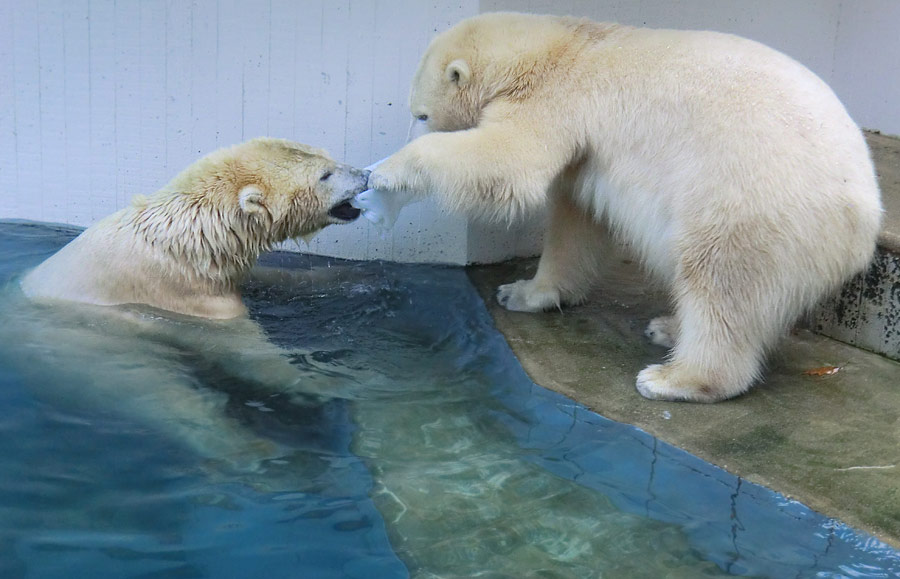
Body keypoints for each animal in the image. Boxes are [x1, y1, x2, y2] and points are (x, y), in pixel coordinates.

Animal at [370, 13, 884, 404]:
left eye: (420, 114)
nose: (406, 131)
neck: (563, 44)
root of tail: (862, 226)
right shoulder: (585, 148)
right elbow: (575, 218)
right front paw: (522, 292)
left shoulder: (554, 99)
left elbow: (510, 162)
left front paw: (385, 172)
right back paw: (669, 328)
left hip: (747, 201)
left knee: (718, 281)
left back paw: (674, 377)